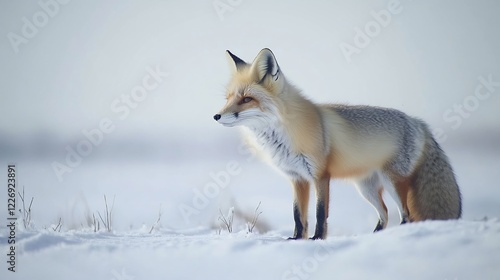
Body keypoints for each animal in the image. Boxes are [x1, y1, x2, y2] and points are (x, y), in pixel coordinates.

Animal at [213, 48, 462, 241]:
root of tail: (418, 122)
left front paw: (317, 239)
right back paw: (374, 236)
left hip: (392, 182)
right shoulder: (297, 178)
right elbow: (298, 215)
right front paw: (296, 239)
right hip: (366, 187)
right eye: (228, 98)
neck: (284, 135)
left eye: (247, 99)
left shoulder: (320, 175)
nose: (216, 116)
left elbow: (320, 213)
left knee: (406, 214)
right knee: (384, 213)